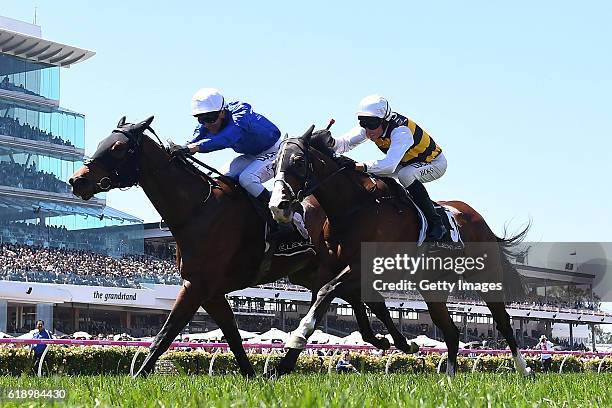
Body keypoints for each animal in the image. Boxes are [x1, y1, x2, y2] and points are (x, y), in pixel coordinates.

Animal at [69, 116, 418, 378]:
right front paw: (251, 376)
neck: (197, 208)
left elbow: (165, 334)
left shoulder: (196, 286)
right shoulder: (209, 291)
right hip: (309, 272)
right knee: (353, 296)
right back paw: (383, 339)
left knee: (358, 297)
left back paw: (396, 342)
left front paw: (138, 376)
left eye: (117, 148)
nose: (77, 180)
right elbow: (233, 337)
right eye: (101, 143)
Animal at [268, 126, 532, 376]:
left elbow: (329, 293)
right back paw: (448, 378)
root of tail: (478, 218)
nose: (278, 206)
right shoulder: (334, 270)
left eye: (298, 161)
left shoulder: (360, 268)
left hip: (485, 276)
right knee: (451, 332)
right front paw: (283, 364)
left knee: (503, 322)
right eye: (273, 165)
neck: (355, 207)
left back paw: (523, 369)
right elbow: (340, 301)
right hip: (433, 288)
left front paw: (297, 338)